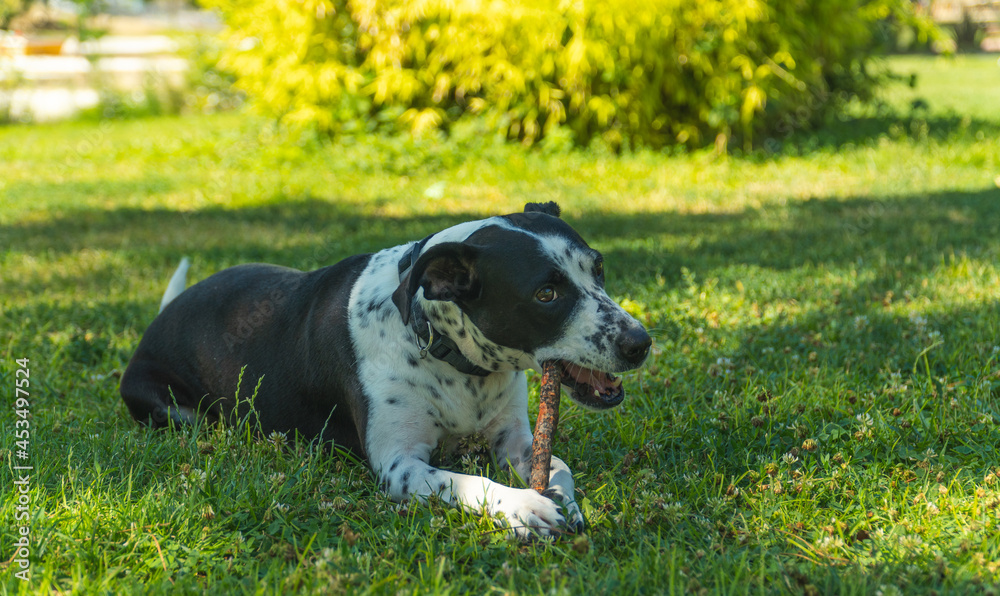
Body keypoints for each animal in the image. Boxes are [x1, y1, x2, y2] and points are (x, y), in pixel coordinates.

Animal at [121, 203, 652, 536]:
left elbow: (558, 466)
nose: (640, 343)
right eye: (546, 293)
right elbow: (468, 482)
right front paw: (524, 507)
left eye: (598, 269)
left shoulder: (516, 440)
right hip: (173, 409)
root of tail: (162, 316)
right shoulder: (400, 465)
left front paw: (565, 501)